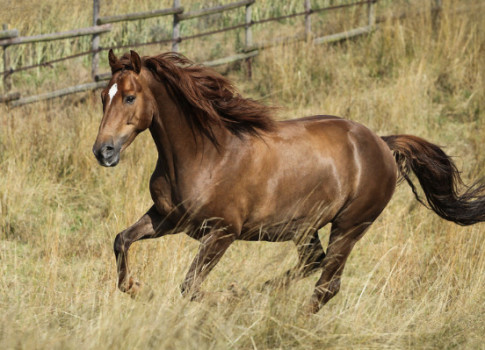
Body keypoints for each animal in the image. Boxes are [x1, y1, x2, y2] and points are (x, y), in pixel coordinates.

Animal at [91, 48, 484, 312]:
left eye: (129, 97)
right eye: (103, 98)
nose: (103, 151)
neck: (206, 155)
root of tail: (383, 145)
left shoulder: (223, 232)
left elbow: (190, 286)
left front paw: (225, 297)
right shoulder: (168, 218)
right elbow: (121, 240)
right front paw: (137, 287)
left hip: (350, 226)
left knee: (327, 284)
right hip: (305, 228)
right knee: (312, 264)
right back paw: (257, 294)